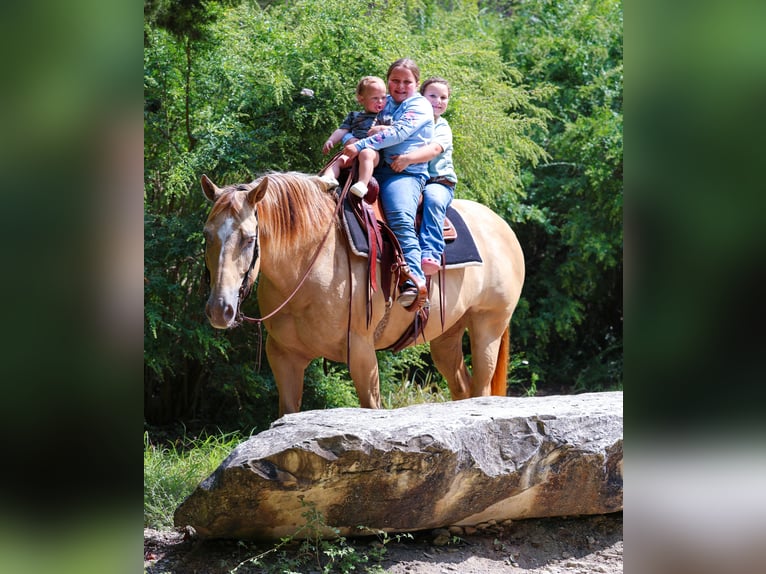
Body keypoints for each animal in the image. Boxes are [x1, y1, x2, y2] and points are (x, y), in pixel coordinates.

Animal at [201, 171, 524, 417]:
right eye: (207, 235)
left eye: (248, 239)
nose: (220, 309)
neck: (310, 263)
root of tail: (502, 227)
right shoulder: (283, 357)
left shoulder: (361, 352)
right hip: (447, 338)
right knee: (462, 389)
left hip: (488, 328)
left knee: (481, 388)